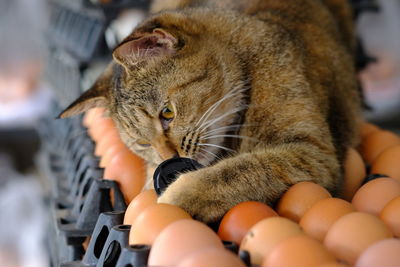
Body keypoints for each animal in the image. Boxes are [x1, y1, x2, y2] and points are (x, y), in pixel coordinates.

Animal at [60, 0, 362, 224]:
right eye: (142, 143)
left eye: (167, 113)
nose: (170, 158)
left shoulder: (313, 154)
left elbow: (240, 170)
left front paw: (175, 195)